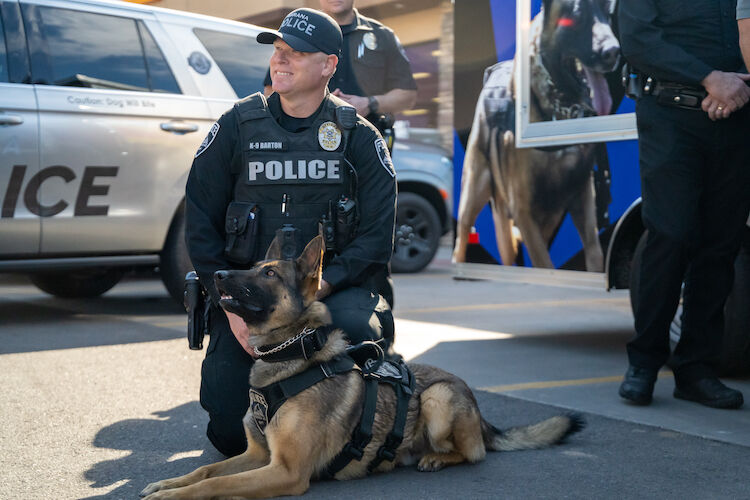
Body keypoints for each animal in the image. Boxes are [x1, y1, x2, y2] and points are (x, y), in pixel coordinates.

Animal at [142, 235, 588, 500]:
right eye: (251, 265)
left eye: (267, 273)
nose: (217, 274)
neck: (289, 358)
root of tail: (480, 411)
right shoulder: (258, 456)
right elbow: (206, 470)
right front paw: (169, 482)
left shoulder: (286, 472)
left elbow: (218, 484)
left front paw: (171, 496)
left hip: (438, 398)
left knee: (473, 453)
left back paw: (436, 458)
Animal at [452, 0, 624, 272]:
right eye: (576, 13)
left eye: (609, 10)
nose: (613, 52)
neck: (559, 111)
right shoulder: (523, 210)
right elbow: (545, 263)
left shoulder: (582, 198)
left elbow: (594, 254)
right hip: (474, 194)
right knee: (461, 242)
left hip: (545, 217)